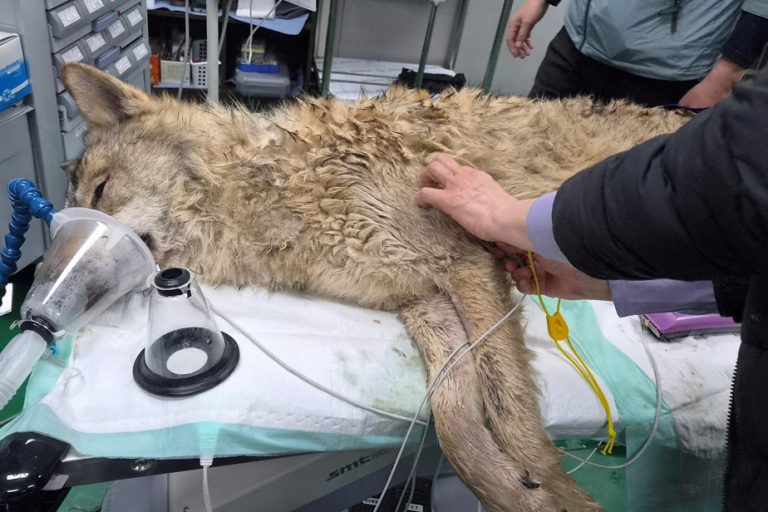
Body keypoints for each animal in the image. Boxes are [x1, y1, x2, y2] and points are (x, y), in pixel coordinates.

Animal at [61, 63, 690, 512]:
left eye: (101, 191)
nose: (50, 288)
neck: (273, 187)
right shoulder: (423, 301)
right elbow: (457, 422)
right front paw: (516, 490)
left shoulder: (465, 263)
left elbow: (510, 410)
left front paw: (558, 493)